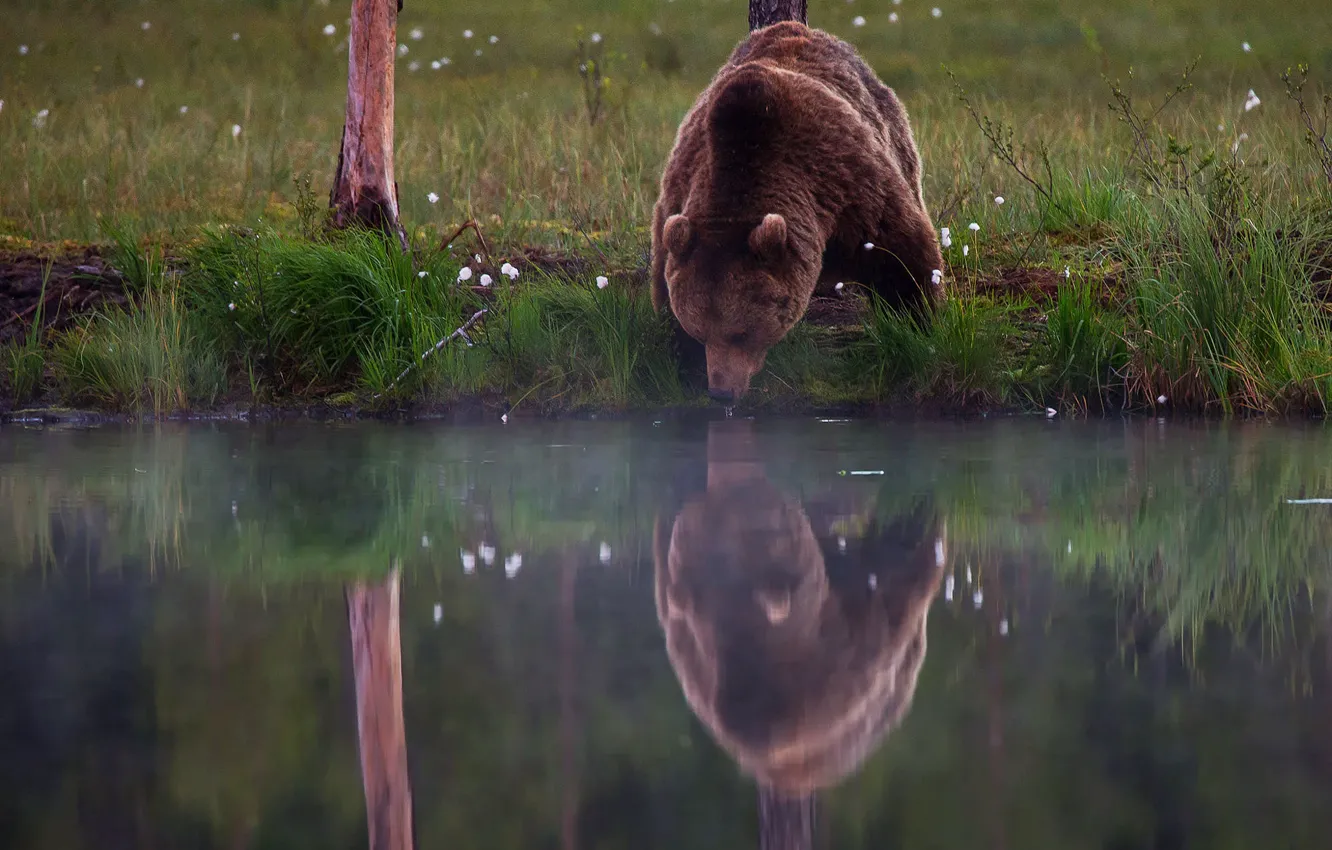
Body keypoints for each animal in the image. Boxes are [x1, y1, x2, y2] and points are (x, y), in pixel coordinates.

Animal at [650, 21, 944, 404]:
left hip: (892, 128)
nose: (722, 392)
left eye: (742, 332)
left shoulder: (847, 183)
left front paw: (918, 321)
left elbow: (901, 250)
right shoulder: (680, 188)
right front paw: (683, 361)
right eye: (700, 330)